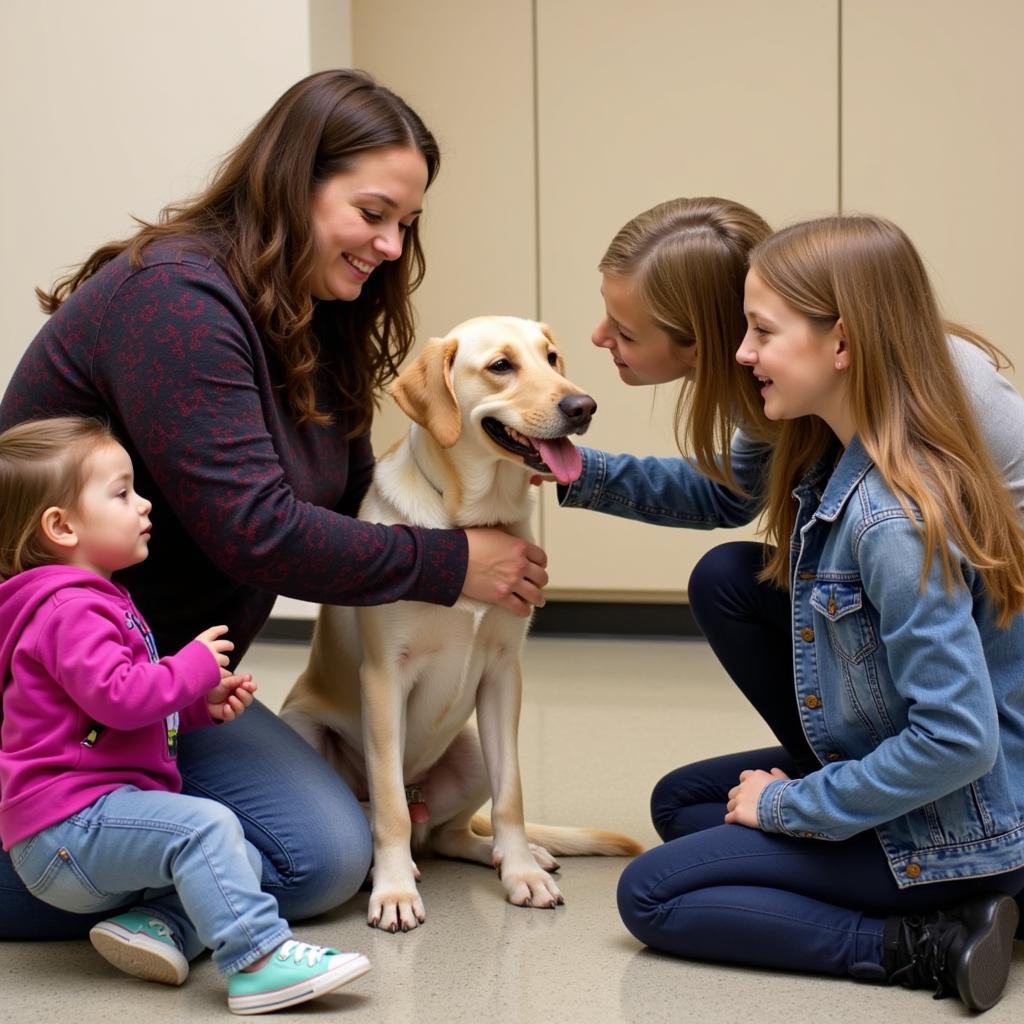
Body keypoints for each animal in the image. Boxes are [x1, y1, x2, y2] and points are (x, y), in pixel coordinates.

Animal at [280, 315, 638, 933]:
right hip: (306, 730)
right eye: (501, 366)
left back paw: (512, 854)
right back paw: (390, 867)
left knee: (450, 833)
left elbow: (511, 796)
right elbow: (389, 812)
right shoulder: (384, 678)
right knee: (388, 814)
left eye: (551, 357)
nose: (583, 405)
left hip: (470, 752)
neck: (470, 522)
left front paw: (522, 874)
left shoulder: (503, 675)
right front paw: (394, 891)